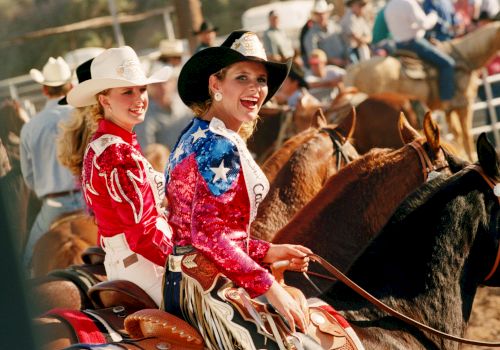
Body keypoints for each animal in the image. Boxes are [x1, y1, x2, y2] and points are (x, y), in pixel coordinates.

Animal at [344, 22, 500, 162]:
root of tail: (353, 69)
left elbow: (457, 134)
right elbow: (465, 135)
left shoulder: (449, 110)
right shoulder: (464, 105)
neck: (465, 57)